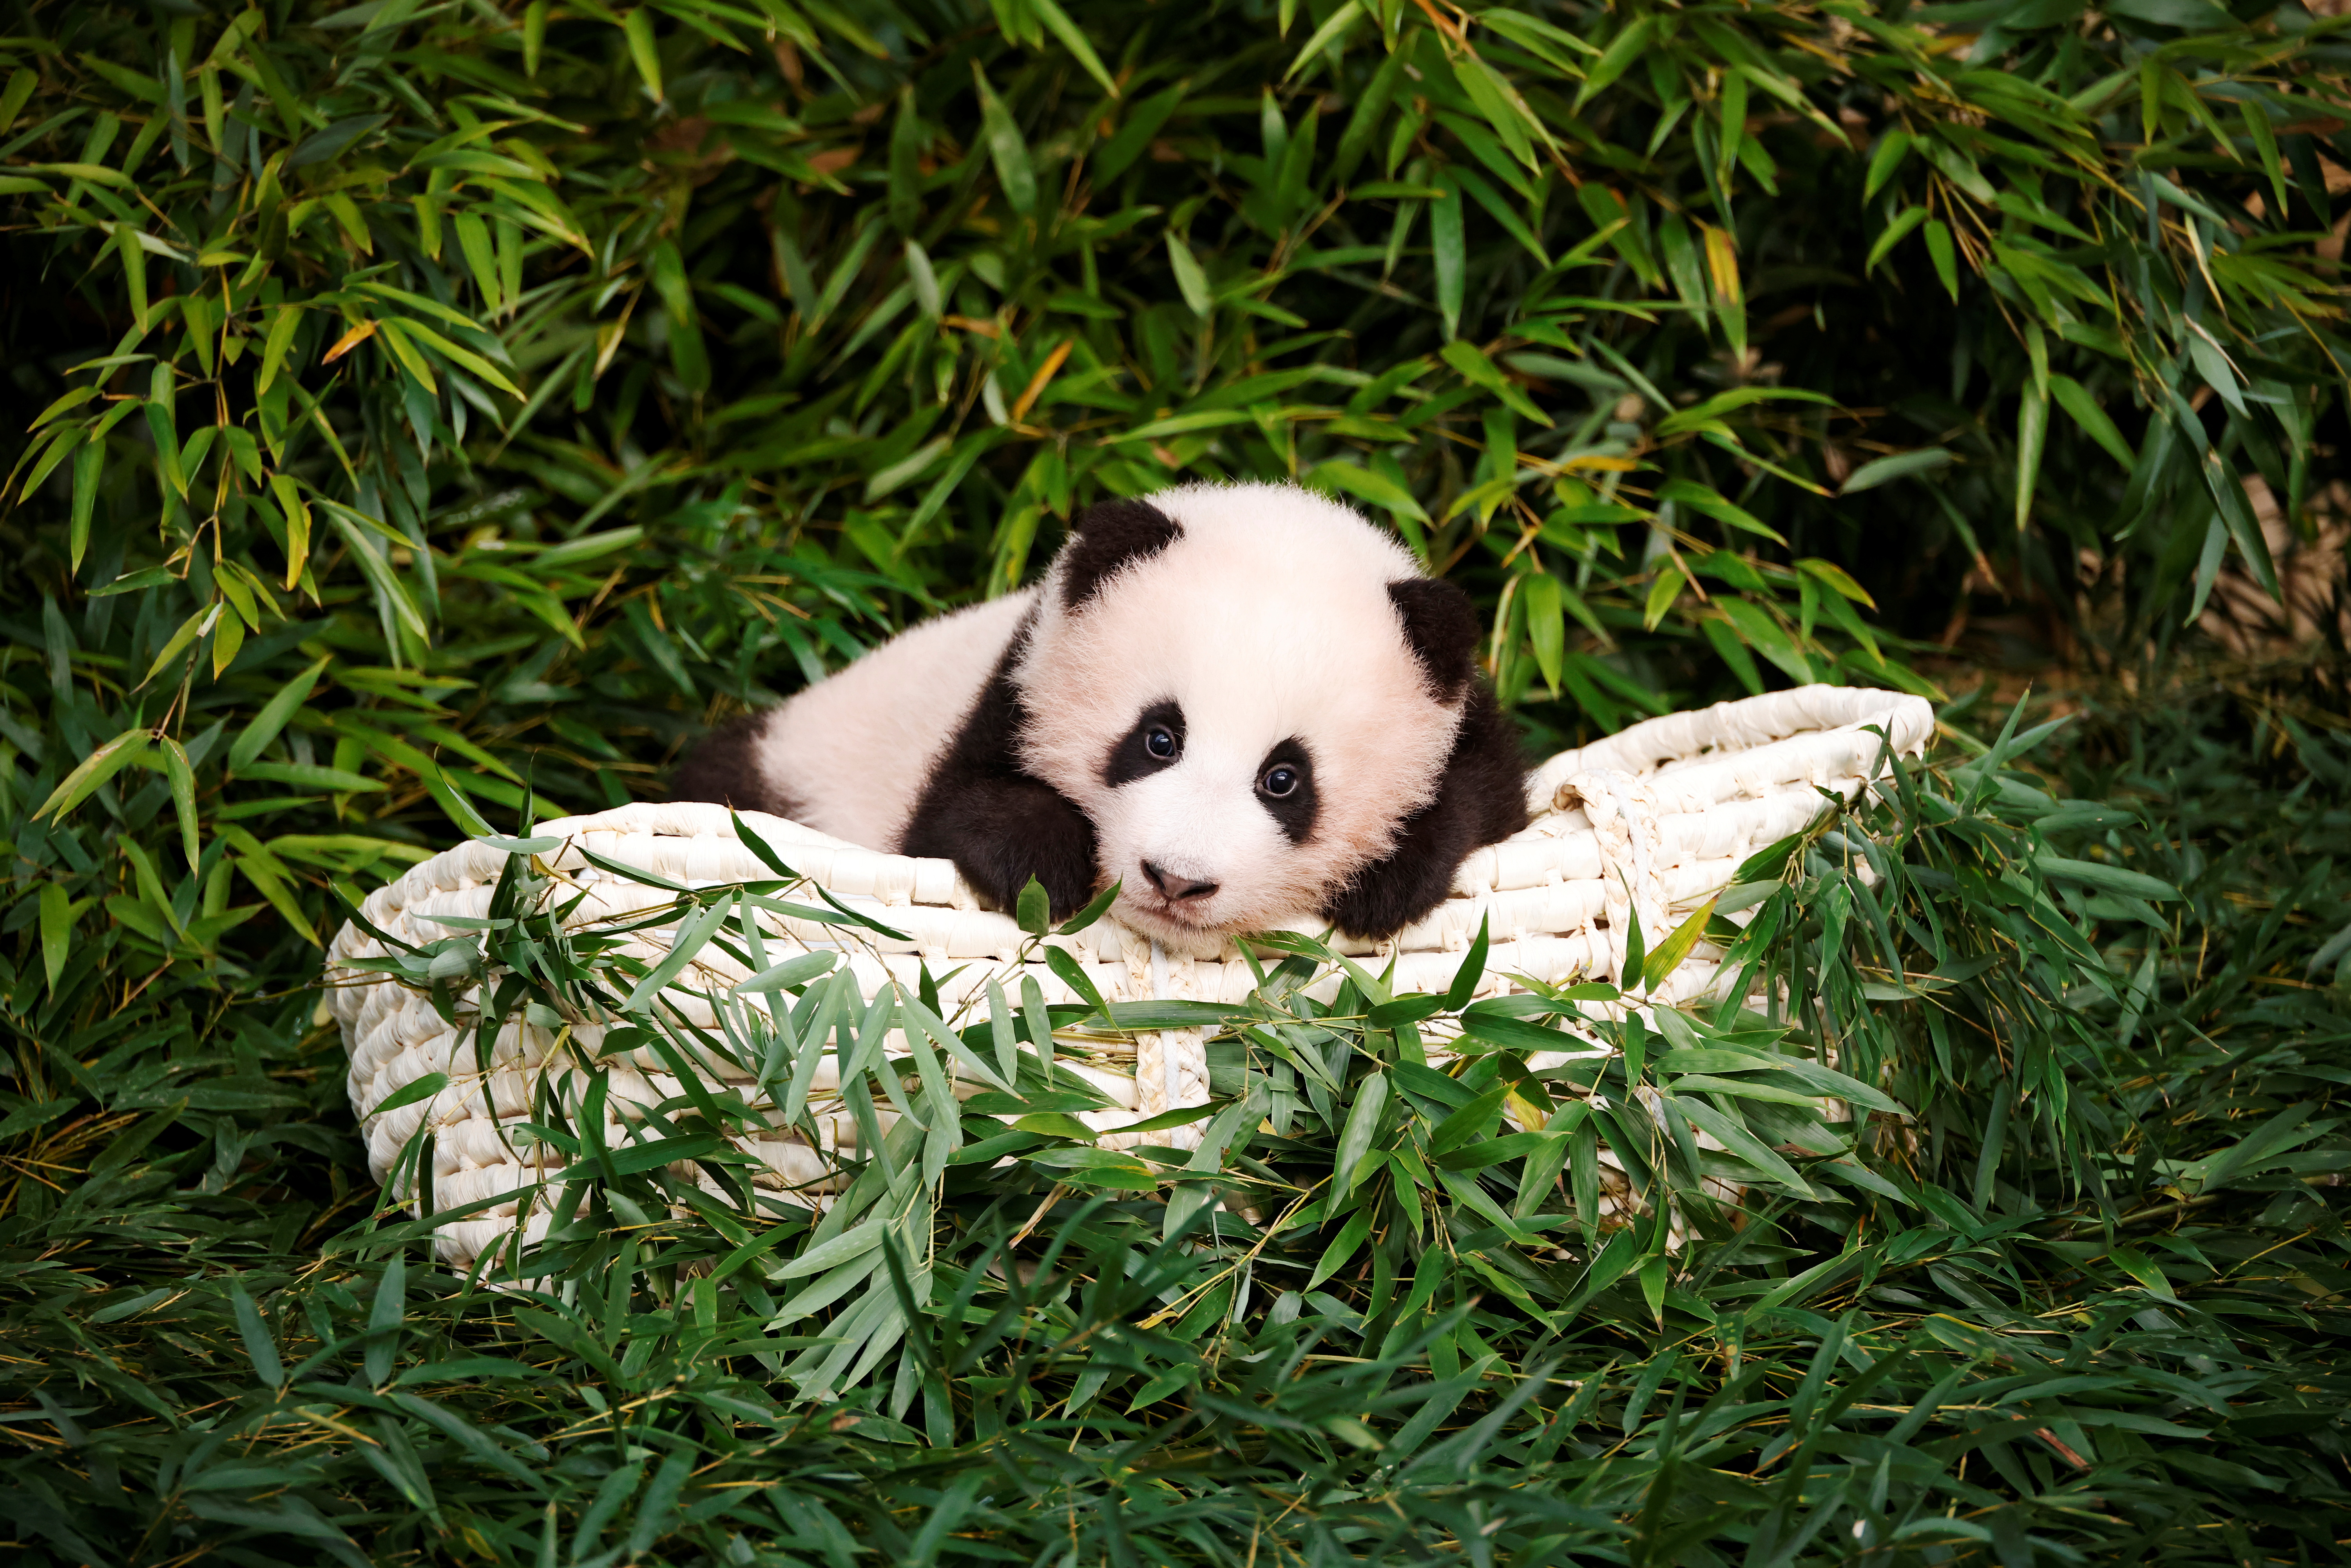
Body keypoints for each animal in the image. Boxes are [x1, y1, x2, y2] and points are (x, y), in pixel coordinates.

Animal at [672, 480, 1533, 950]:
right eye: (1158, 739)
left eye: (1284, 779)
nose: (1178, 881)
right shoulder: (1009, 686)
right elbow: (953, 814)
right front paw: (1042, 865)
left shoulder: (1469, 724)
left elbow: (1480, 798)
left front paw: (1387, 877)